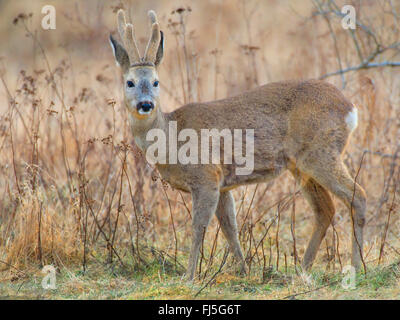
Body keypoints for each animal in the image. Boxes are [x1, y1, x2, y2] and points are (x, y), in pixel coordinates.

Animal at [108, 9, 366, 280]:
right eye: (129, 82)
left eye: (156, 82)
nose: (146, 104)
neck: (171, 138)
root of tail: (350, 108)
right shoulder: (223, 185)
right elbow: (229, 227)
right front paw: (243, 270)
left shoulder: (206, 176)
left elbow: (199, 227)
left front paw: (189, 276)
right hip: (300, 165)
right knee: (324, 210)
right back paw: (301, 269)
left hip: (320, 153)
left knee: (357, 195)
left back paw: (356, 267)